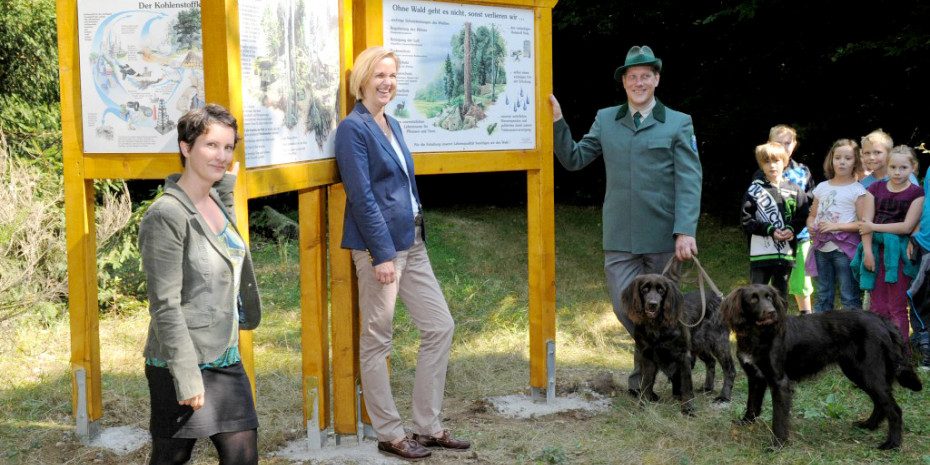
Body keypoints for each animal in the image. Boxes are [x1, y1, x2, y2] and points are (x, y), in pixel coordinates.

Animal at [624, 274, 732, 412]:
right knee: (711, 362)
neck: (656, 326)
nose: (652, 304)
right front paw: (642, 406)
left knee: (729, 370)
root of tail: (720, 298)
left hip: (719, 342)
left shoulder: (683, 355)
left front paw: (688, 408)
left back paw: (724, 396)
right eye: (644, 289)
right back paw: (707, 388)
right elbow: (646, 384)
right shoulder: (647, 356)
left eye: (661, 290)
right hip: (699, 344)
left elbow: (686, 384)